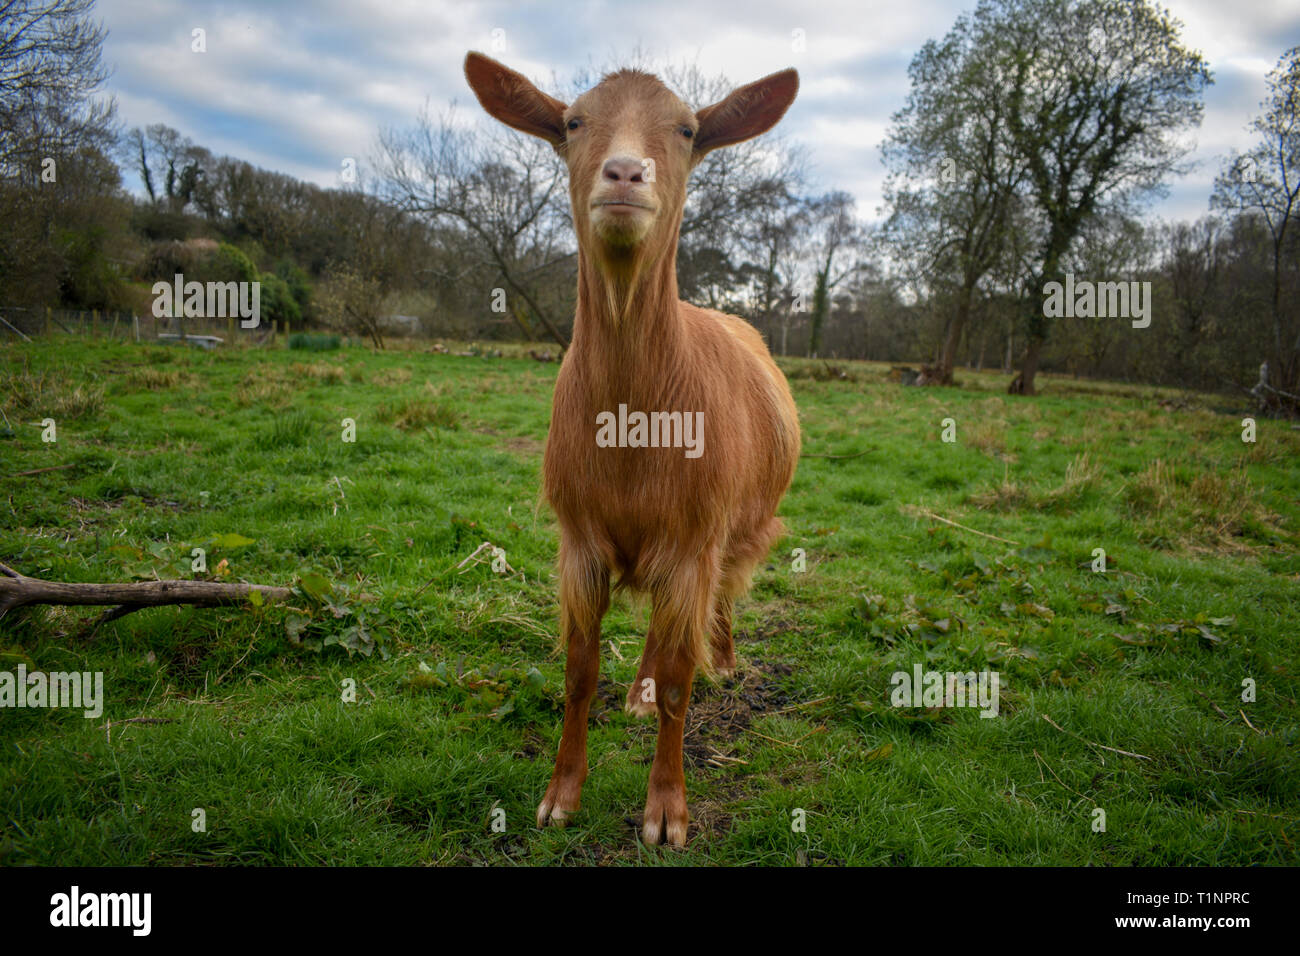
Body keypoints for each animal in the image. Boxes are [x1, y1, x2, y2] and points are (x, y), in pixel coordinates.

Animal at [464, 52, 801, 846]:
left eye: (687, 129)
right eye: (572, 122)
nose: (624, 173)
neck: (633, 425)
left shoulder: (694, 538)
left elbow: (682, 678)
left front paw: (666, 812)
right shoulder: (581, 541)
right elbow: (579, 672)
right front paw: (560, 796)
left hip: (739, 527)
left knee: (724, 594)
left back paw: (725, 660)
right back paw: (642, 692)